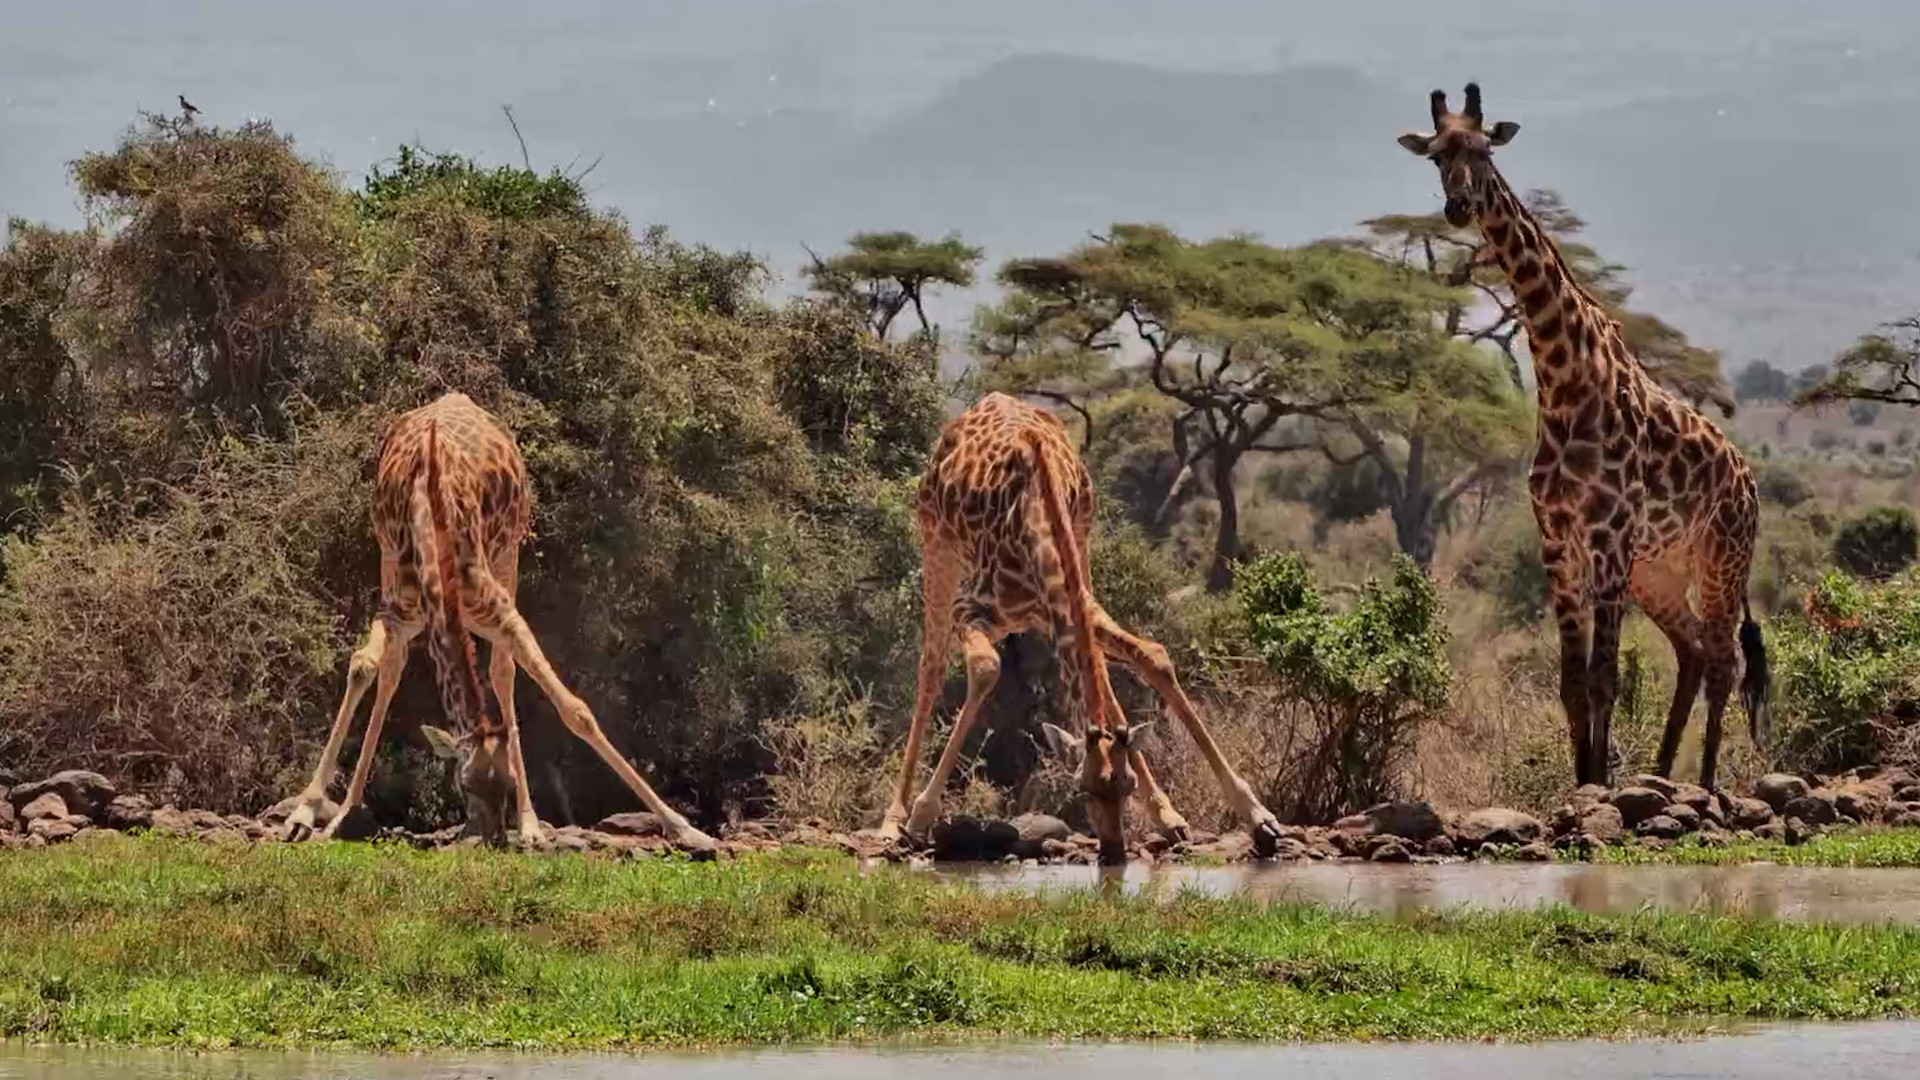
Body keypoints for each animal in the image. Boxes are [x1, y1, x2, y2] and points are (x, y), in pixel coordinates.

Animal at [279, 392, 716, 851]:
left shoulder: (501, 611)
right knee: (393, 667)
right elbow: (363, 666)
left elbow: (575, 710)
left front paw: (683, 826)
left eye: (505, 785)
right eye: (466, 783)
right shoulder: (399, 610)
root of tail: (456, 396)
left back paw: (532, 823)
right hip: (388, 558)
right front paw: (305, 812)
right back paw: (347, 809)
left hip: (509, 555)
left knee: (502, 672)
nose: (492, 840)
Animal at [876, 392, 1284, 863]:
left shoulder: (1075, 601)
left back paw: (1169, 816)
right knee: (931, 667)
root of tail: (984, 402)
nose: (1114, 853)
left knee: (1107, 665)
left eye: (1125, 787)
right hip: (936, 541)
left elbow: (1153, 657)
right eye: (1081, 790)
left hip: (1079, 550)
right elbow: (984, 667)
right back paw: (894, 818)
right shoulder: (973, 607)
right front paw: (921, 815)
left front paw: (1255, 815)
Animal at [1397, 84, 1771, 790]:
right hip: (1659, 572)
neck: (1565, 380)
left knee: (1723, 660)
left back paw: (1706, 784)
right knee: (1690, 652)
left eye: (1485, 150)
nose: (1459, 207)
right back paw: (1660, 773)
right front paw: (1586, 784)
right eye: (1436, 155)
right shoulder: (1558, 544)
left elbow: (1604, 680)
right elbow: (1572, 684)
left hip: (1720, 559)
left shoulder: (1608, 542)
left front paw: (1599, 786)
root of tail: (1748, 478)